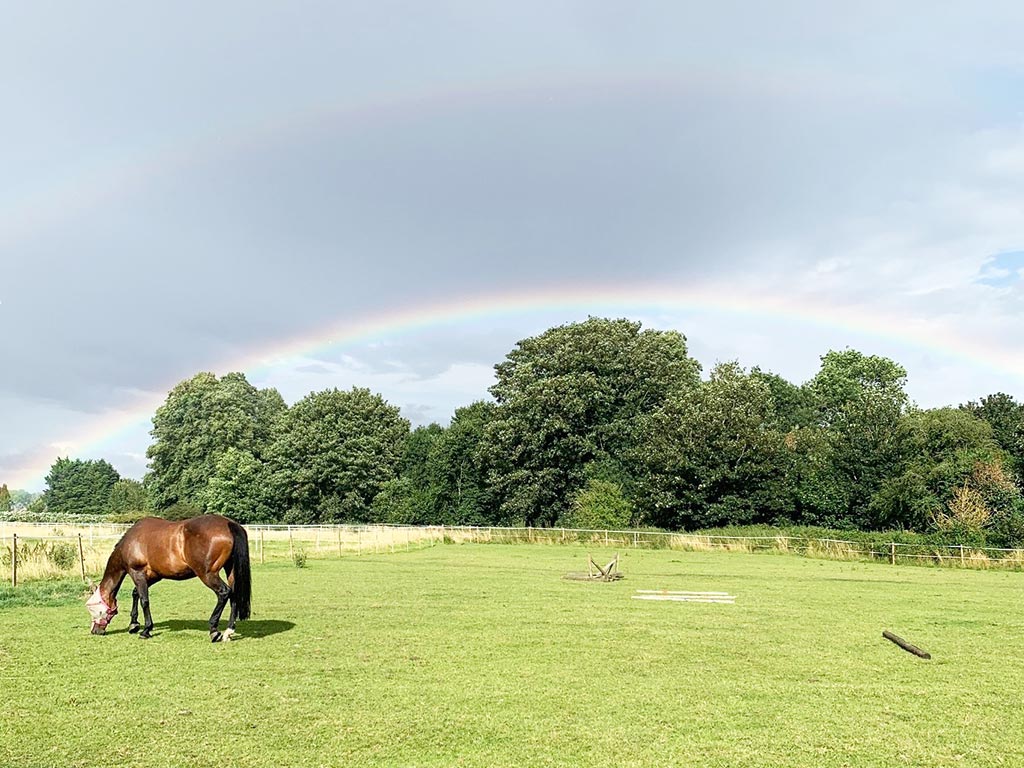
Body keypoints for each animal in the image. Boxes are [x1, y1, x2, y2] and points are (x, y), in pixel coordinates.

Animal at [86, 514, 251, 642]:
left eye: (94, 609)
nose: (95, 631)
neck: (130, 542)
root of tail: (229, 524)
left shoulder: (137, 573)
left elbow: (144, 600)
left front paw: (146, 630)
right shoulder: (153, 576)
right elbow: (135, 594)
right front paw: (134, 624)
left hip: (208, 574)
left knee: (224, 593)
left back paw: (214, 630)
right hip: (230, 570)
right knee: (234, 594)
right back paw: (229, 631)